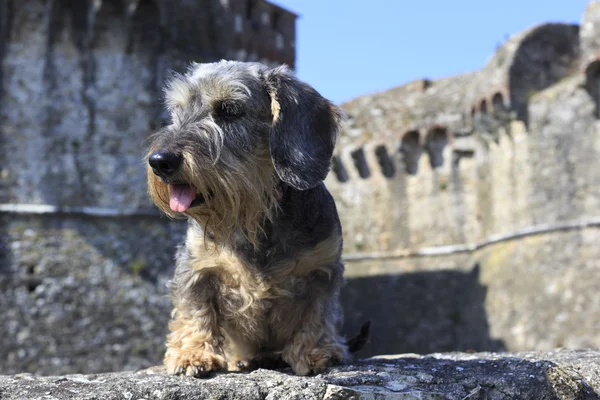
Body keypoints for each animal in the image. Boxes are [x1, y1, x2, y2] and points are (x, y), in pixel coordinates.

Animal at [147, 61, 368, 376]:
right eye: (177, 111)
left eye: (229, 109)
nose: (160, 161)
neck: (256, 215)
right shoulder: (196, 268)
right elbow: (195, 311)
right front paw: (193, 353)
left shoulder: (323, 269)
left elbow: (318, 314)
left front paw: (315, 352)